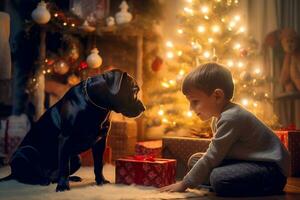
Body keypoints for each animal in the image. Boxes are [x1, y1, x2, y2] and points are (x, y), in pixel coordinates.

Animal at [0, 69, 145, 192]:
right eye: (134, 89)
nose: (143, 108)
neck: (97, 105)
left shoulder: (101, 141)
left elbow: (98, 164)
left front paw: (101, 181)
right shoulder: (65, 138)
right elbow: (64, 166)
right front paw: (63, 187)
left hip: (76, 158)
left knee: (54, 175)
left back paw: (69, 178)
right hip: (27, 151)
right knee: (24, 177)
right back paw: (42, 180)